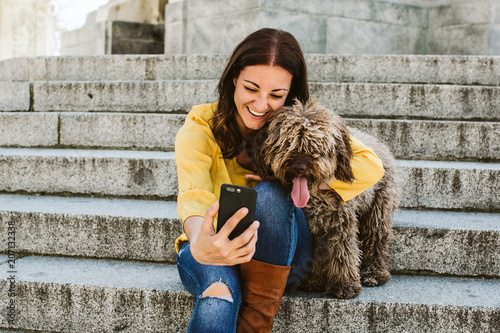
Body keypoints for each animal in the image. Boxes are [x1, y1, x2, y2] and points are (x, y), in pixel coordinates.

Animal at [252, 99, 400, 298]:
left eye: (316, 145)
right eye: (287, 142)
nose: (299, 167)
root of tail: (381, 145)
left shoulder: (341, 221)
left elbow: (344, 252)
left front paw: (345, 285)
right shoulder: (313, 228)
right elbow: (317, 254)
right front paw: (314, 280)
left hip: (378, 209)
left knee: (376, 240)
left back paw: (375, 273)